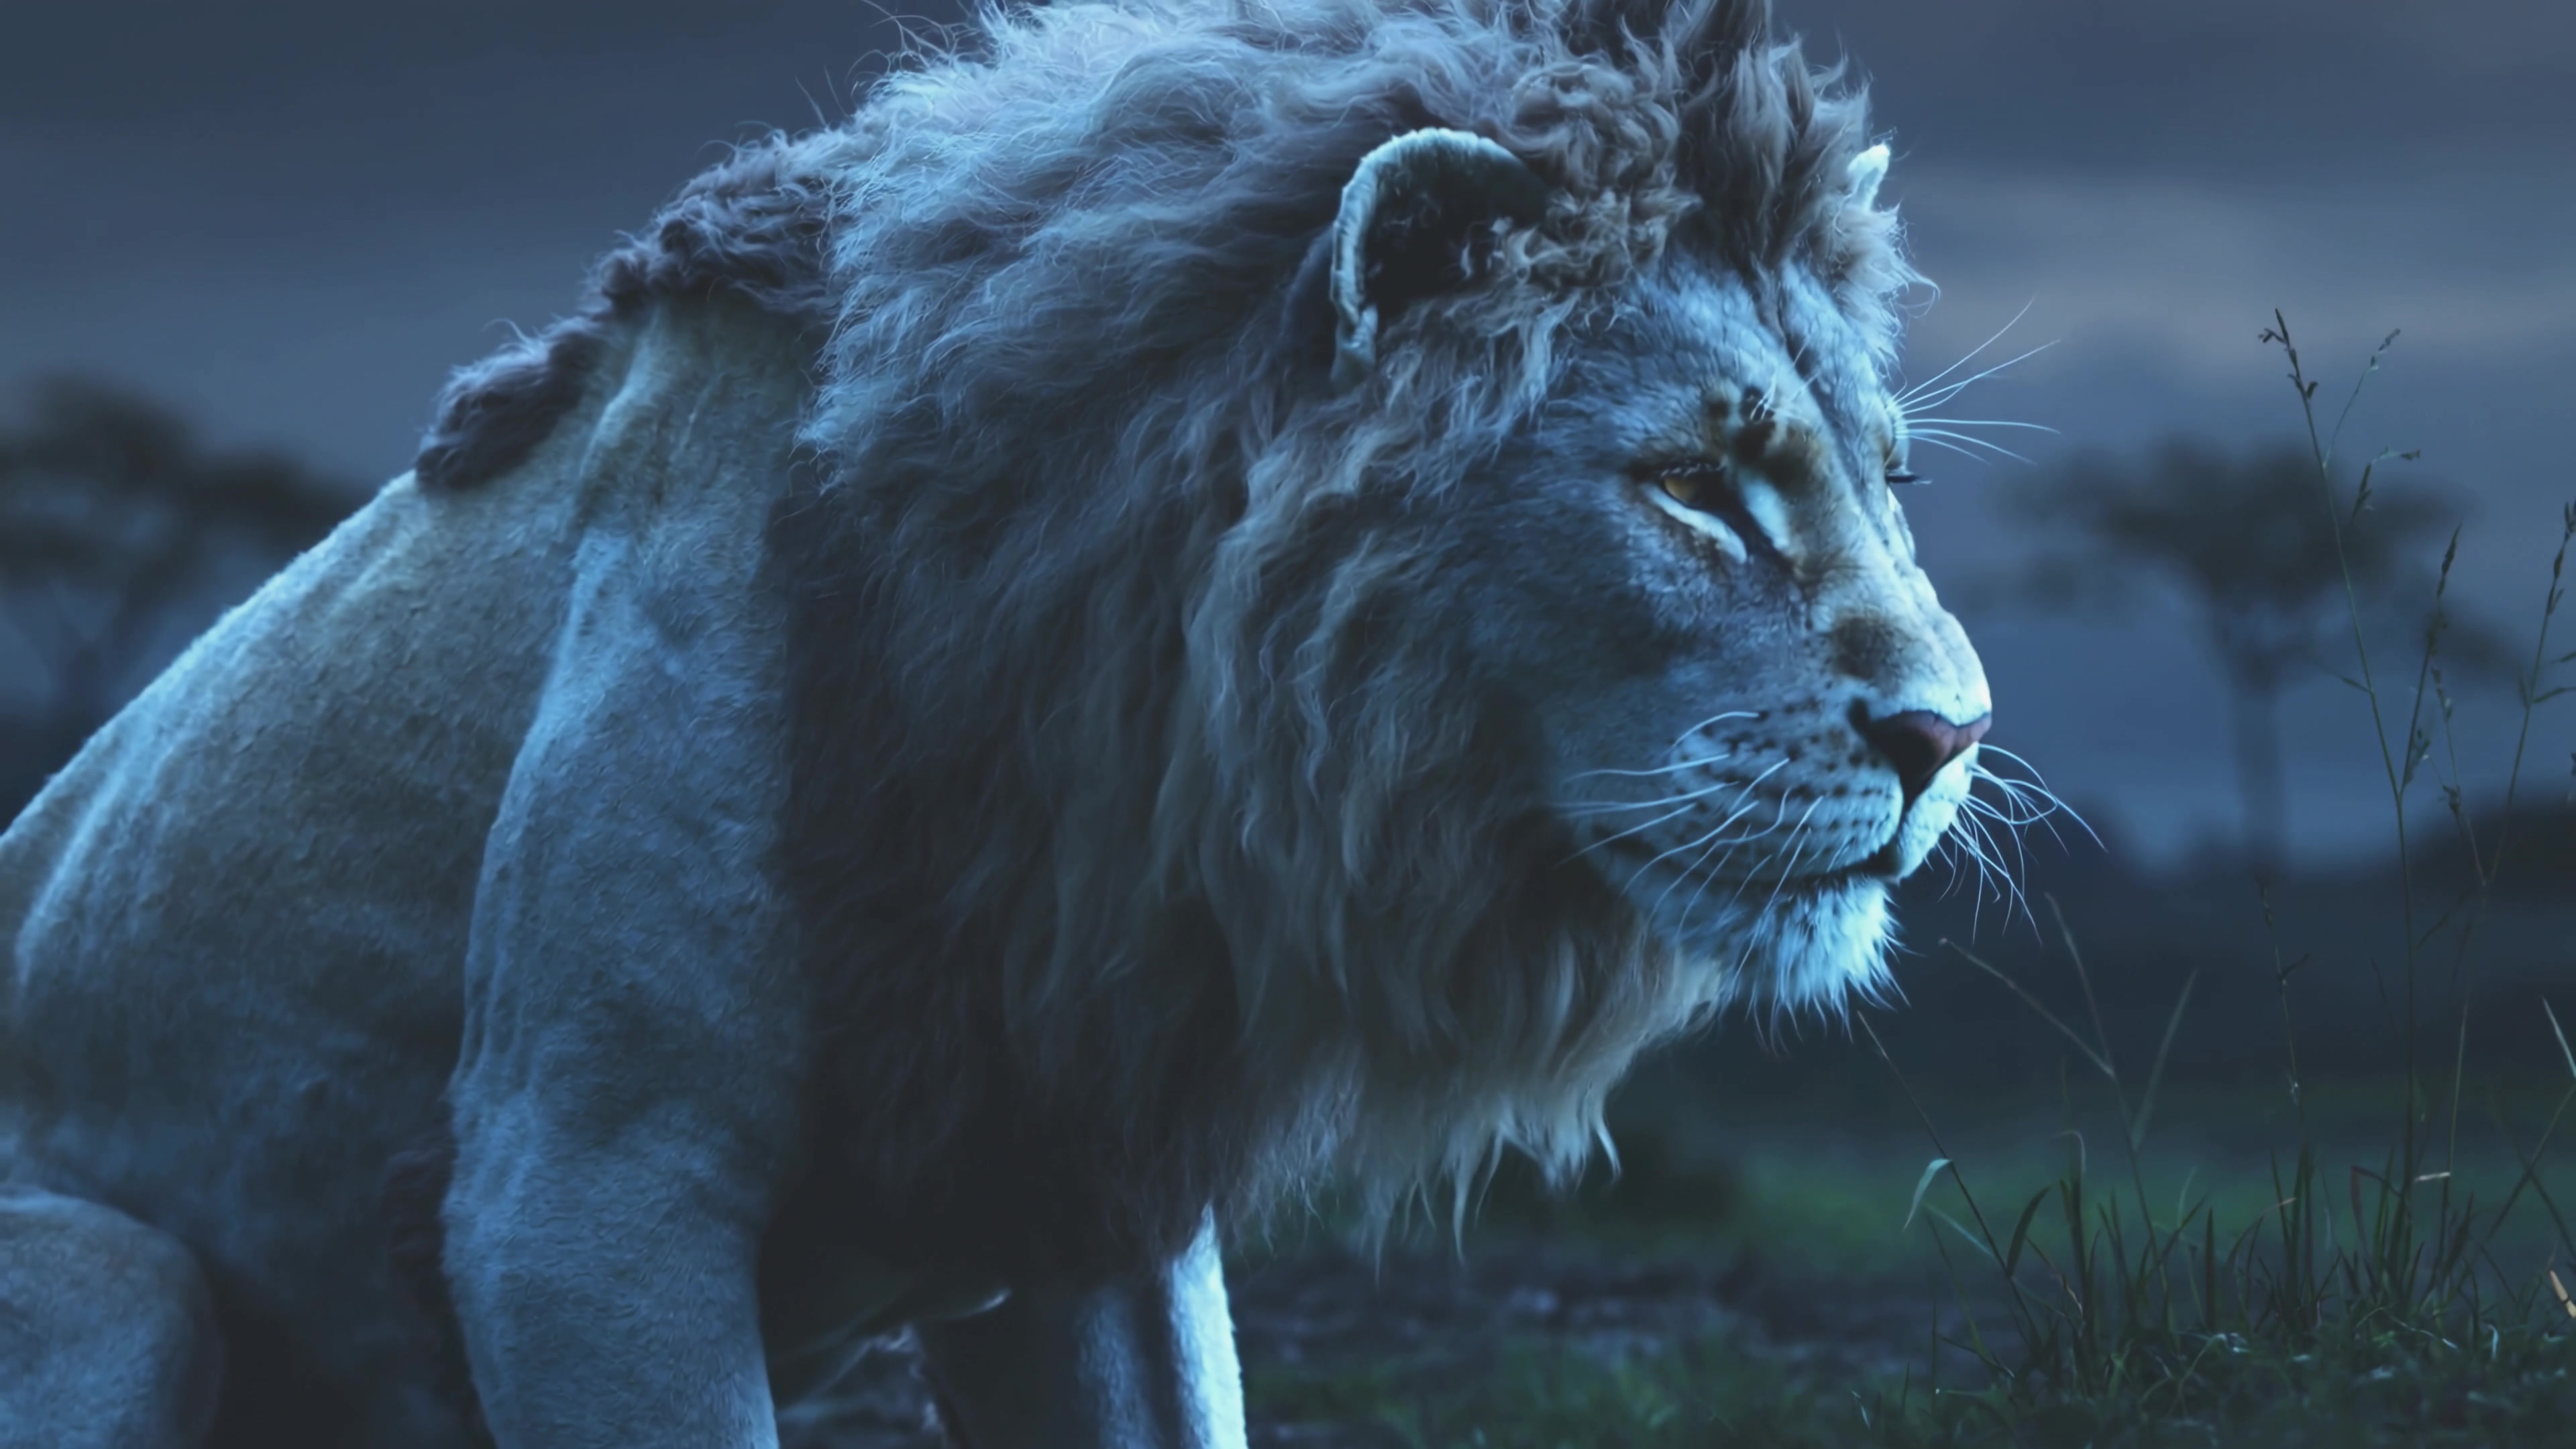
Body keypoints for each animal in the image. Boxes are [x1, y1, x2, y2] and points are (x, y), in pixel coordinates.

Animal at [0, 0, 1991, 1443]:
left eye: (1890, 480)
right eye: (1693, 484)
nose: (1950, 737)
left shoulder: (1088, 1194)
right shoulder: (579, 1187)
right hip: (123, 1280)